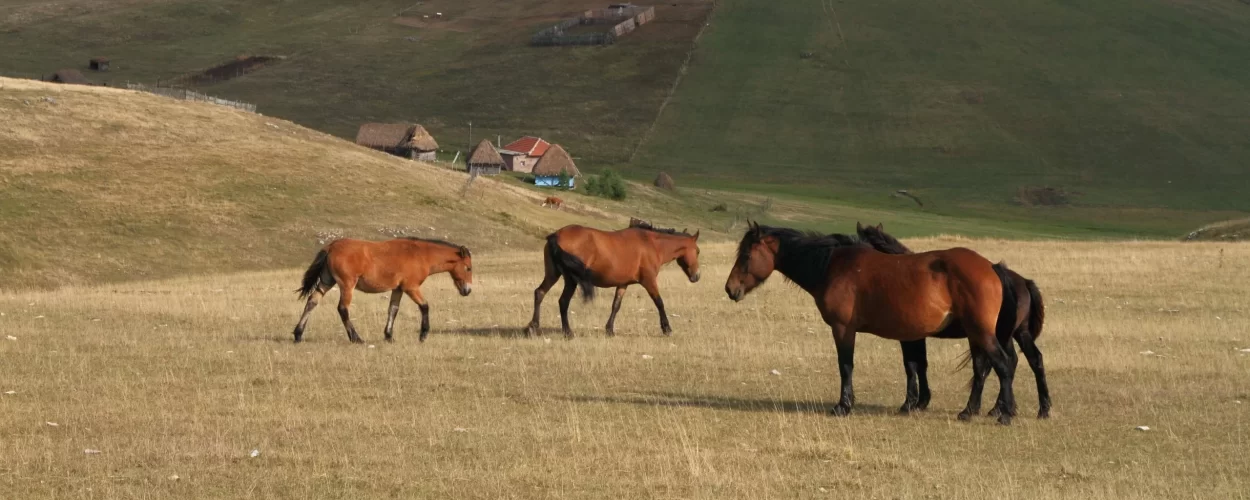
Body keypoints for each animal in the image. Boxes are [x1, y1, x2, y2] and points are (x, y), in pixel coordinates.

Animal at [293, 237, 472, 345]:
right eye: (468, 268)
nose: (468, 290)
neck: (421, 255)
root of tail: (331, 246)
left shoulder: (398, 289)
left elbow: (393, 310)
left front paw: (389, 336)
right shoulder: (411, 288)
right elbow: (425, 306)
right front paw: (423, 334)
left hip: (326, 281)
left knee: (312, 302)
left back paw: (298, 334)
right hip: (347, 285)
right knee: (342, 309)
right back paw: (356, 338)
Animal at [522, 220, 700, 340]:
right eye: (697, 251)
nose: (696, 276)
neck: (650, 244)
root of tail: (557, 235)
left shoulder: (622, 284)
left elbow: (616, 306)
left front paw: (609, 330)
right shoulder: (649, 281)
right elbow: (659, 303)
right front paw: (666, 328)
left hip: (553, 274)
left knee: (540, 293)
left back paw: (532, 327)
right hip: (571, 280)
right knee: (563, 301)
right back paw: (568, 333)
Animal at [725, 225, 1025, 425]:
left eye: (746, 257)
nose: (730, 289)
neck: (833, 265)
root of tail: (991, 267)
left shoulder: (843, 329)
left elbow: (846, 366)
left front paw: (843, 406)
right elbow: (914, 367)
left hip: (982, 334)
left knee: (1002, 365)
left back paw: (1004, 414)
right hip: (976, 335)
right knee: (985, 368)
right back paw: (973, 411)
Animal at [855, 221, 1050, 417]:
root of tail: (1022, 281)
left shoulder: (909, 337)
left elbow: (911, 365)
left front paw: (910, 403)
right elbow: (921, 364)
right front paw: (921, 402)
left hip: (994, 334)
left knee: (998, 364)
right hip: (1017, 334)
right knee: (1031, 360)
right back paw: (1038, 408)